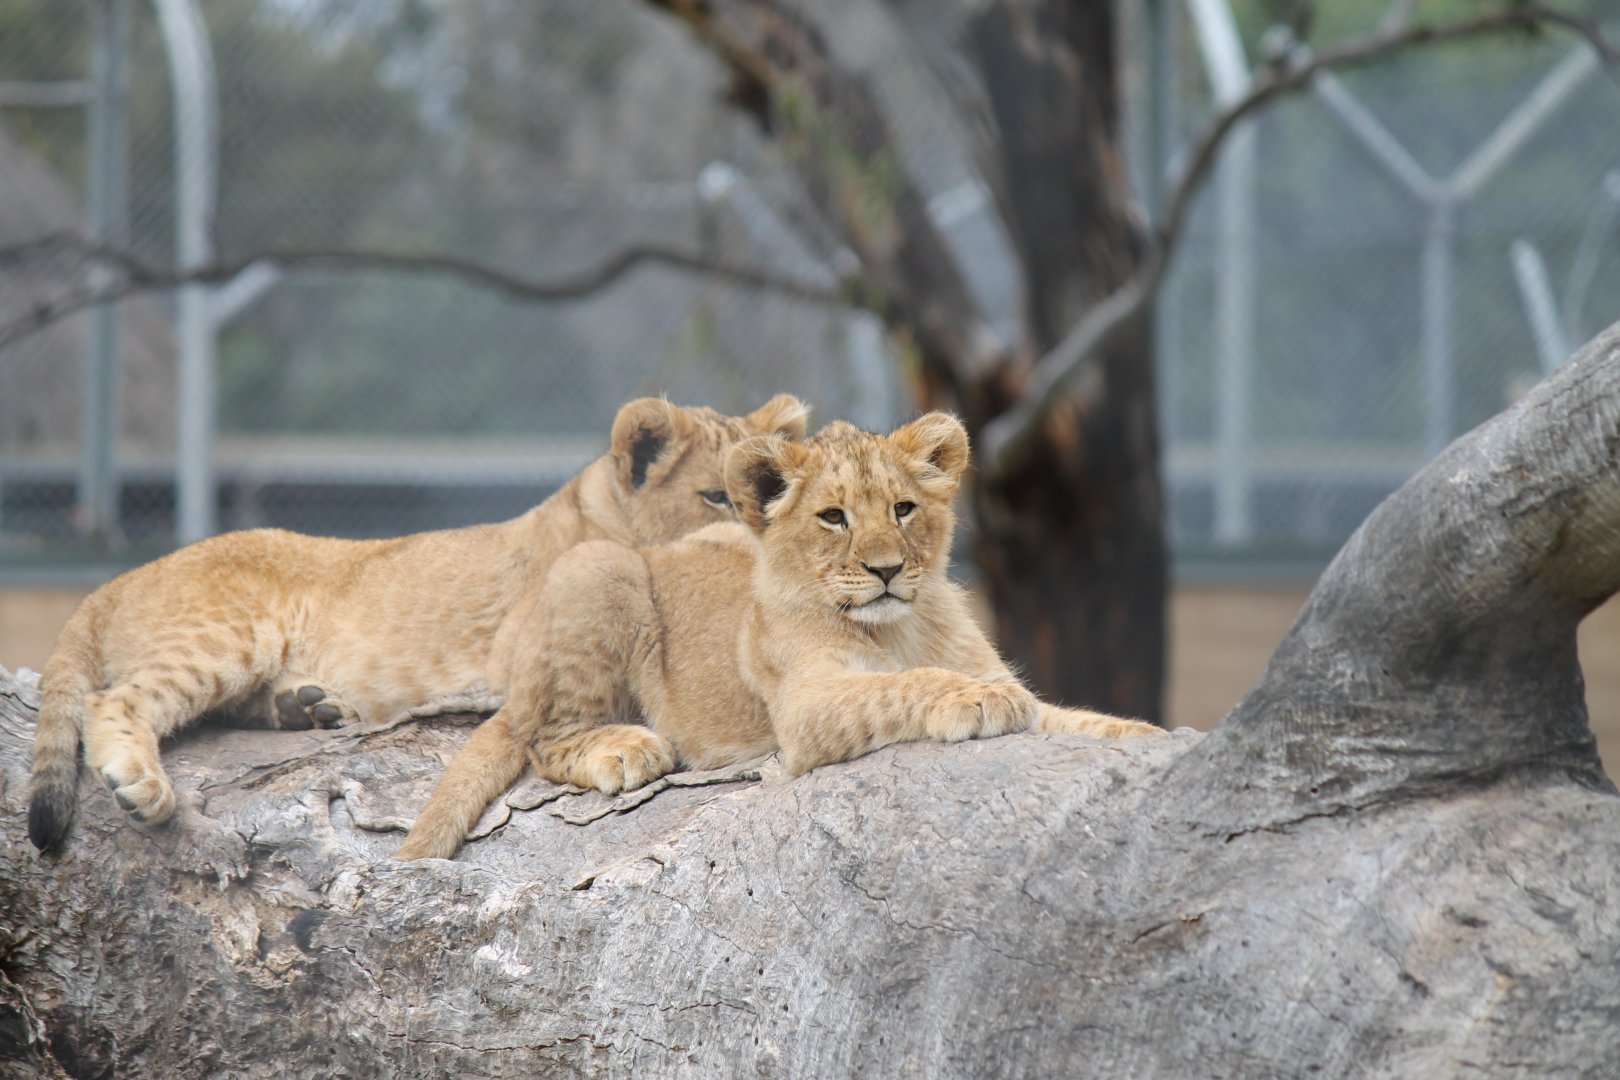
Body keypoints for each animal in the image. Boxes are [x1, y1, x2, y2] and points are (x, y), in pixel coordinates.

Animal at [27, 394, 810, 851]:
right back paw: (140, 783)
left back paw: (307, 707)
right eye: (714, 494)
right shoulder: (516, 649)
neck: (593, 514)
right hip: (227, 635)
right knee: (118, 697)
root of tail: (120, 579)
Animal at [397, 412, 1159, 861]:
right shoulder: (804, 709)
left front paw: (1145, 739)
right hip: (598, 566)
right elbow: (905, 685)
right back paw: (624, 749)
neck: (900, 626)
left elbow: (1074, 719)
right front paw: (971, 702)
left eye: (904, 509)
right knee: (544, 738)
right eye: (833, 518)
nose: (886, 570)